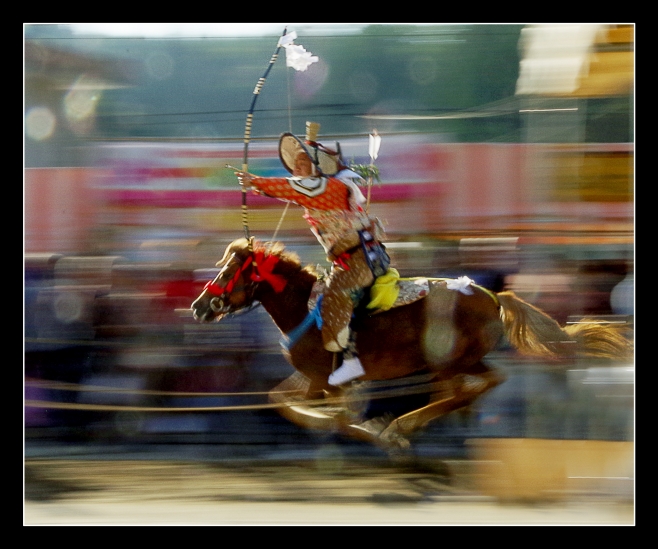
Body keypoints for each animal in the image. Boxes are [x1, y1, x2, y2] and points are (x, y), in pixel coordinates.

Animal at [190, 237, 632, 450]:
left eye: (227, 272)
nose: (198, 306)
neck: (305, 308)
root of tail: (493, 297)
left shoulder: (321, 380)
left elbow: (309, 411)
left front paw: (366, 427)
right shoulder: (315, 378)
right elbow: (279, 398)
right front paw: (363, 425)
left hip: (448, 361)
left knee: (461, 390)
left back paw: (404, 424)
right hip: (464, 360)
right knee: (486, 382)